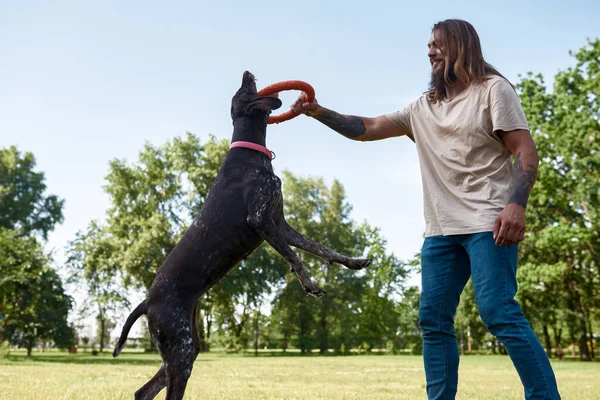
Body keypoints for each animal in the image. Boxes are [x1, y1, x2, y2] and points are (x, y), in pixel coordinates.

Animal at [112, 72, 370, 400]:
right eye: (244, 90)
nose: (247, 72)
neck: (251, 151)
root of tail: (147, 302)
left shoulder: (281, 224)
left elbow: (319, 247)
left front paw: (353, 261)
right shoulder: (262, 221)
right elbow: (295, 257)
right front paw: (310, 284)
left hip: (186, 348)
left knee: (143, 392)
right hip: (179, 351)